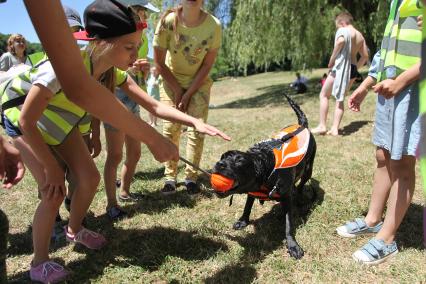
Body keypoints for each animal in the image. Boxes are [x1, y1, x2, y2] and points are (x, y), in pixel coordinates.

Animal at [213, 93, 316, 260]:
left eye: (239, 161)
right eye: (222, 156)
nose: (219, 164)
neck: (267, 169)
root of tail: (302, 125)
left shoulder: (285, 195)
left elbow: (288, 225)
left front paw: (293, 245)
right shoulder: (252, 191)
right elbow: (247, 206)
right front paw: (243, 221)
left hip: (308, 169)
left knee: (300, 185)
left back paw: (299, 199)